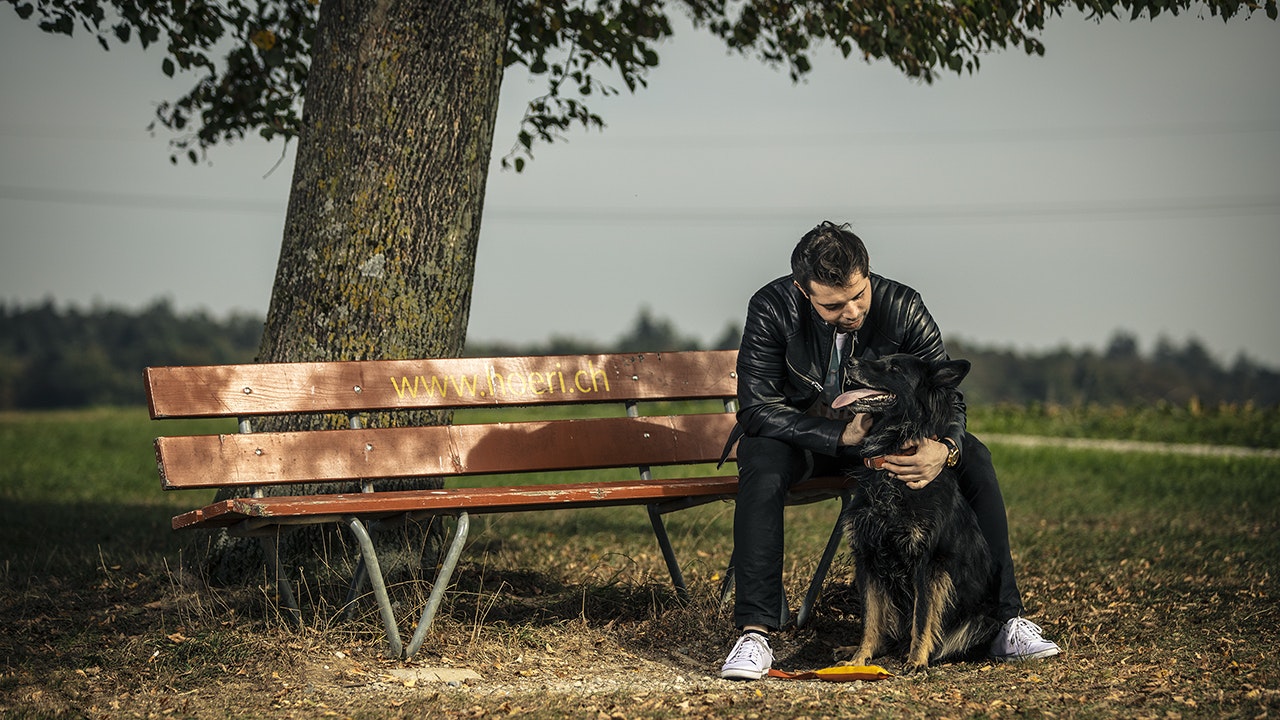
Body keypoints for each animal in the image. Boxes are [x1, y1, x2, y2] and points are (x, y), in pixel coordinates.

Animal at [829, 353, 998, 671]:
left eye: (894, 368)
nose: (850, 361)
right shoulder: (867, 557)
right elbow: (870, 620)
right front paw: (859, 658)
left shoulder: (928, 563)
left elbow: (922, 616)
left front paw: (917, 659)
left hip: (983, 621)